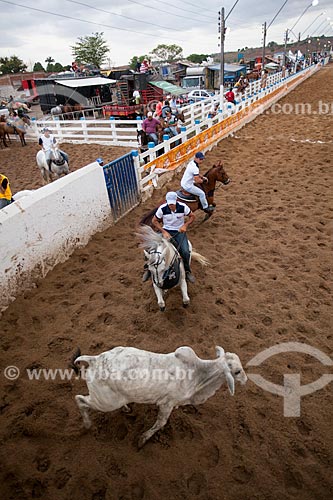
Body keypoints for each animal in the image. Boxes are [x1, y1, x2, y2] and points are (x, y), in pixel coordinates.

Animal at [71, 346, 245, 448]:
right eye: (237, 371)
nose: (245, 379)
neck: (198, 375)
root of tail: (94, 360)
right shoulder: (167, 404)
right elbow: (161, 423)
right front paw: (142, 440)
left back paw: (126, 407)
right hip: (105, 402)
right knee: (80, 399)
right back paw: (87, 424)